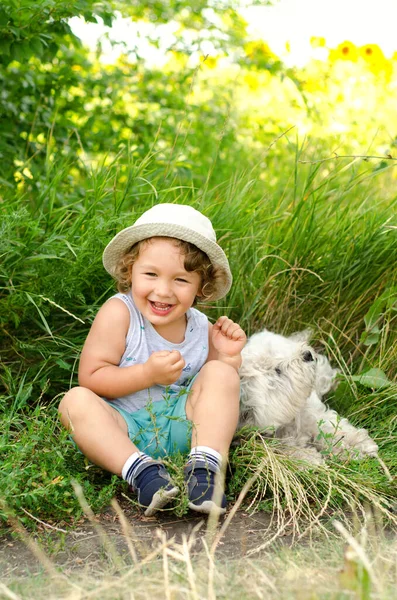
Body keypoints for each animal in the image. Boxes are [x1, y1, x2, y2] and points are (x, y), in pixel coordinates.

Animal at [238, 328, 378, 464]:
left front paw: (357, 444)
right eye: (277, 370)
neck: (289, 420)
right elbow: (290, 450)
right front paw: (310, 459)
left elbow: (333, 429)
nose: (307, 355)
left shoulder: (315, 415)